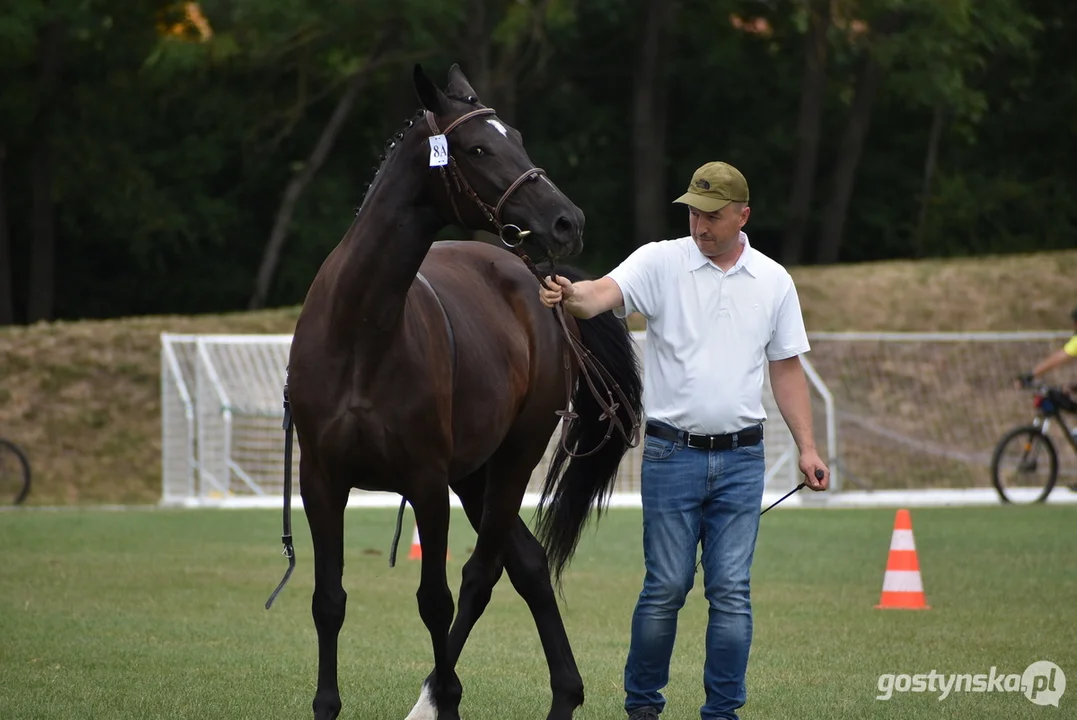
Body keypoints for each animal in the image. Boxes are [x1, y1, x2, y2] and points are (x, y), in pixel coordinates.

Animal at [271, 63, 637, 718]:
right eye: (477, 148)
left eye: (517, 136)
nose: (567, 221)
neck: (361, 332)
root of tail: (536, 283)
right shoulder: (322, 480)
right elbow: (328, 600)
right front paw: (326, 704)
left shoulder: (426, 481)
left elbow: (436, 600)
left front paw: (446, 695)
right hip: (474, 472)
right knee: (527, 564)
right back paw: (564, 694)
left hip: (511, 457)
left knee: (483, 572)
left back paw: (437, 697)